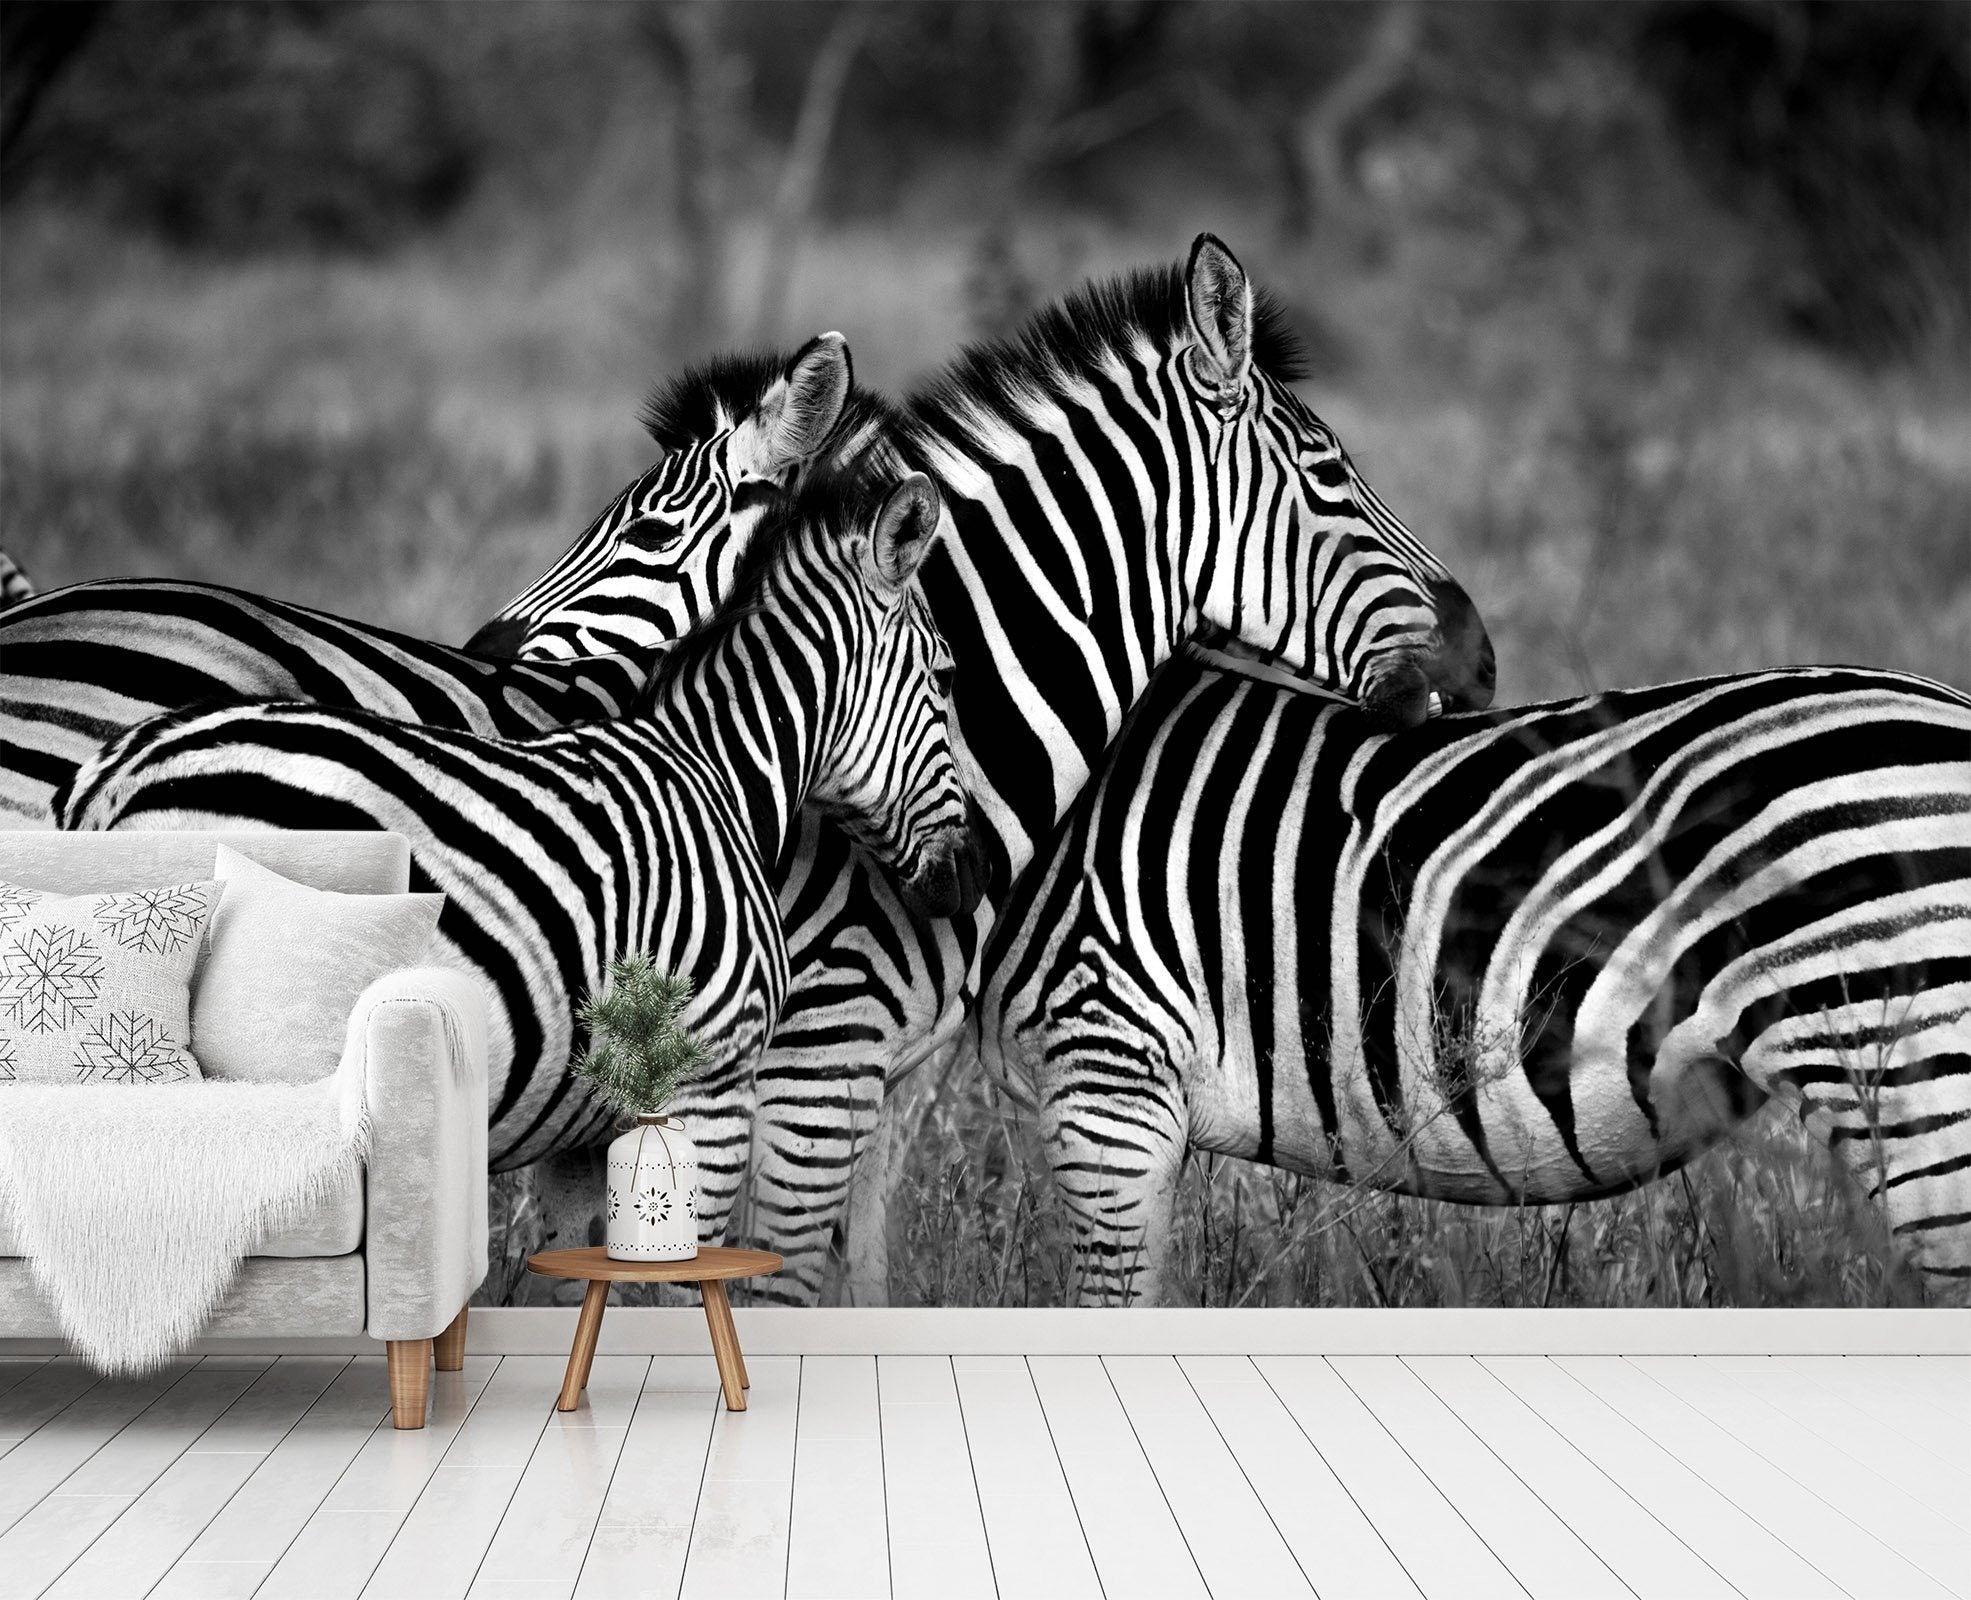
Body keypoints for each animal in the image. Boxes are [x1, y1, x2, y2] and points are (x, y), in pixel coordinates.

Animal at [61, 464, 985, 1227]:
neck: (712, 766)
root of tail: (122, 773)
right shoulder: (711, 1084)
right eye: (944, 676)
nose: (970, 879)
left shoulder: (582, 1129)